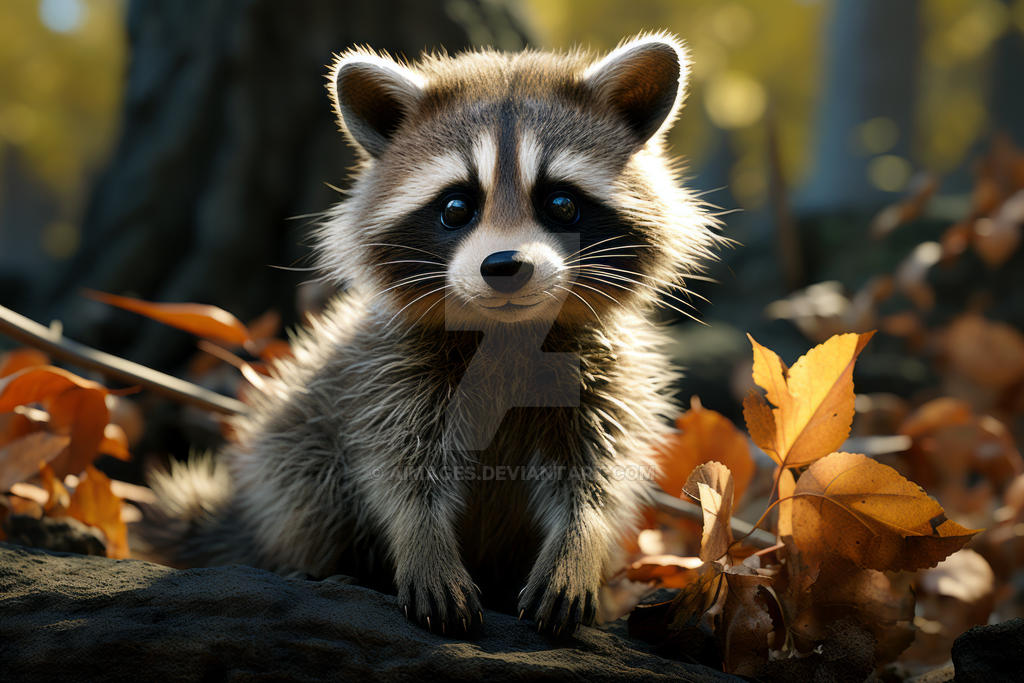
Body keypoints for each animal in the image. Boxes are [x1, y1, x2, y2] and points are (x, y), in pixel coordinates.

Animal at [147, 32, 719, 638]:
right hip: (297, 427)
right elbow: (397, 467)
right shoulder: (386, 372)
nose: (505, 266)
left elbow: (596, 474)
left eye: (561, 203)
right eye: (456, 207)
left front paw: (578, 545)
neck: (507, 330)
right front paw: (422, 543)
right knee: (303, 481)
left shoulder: (604, 378)